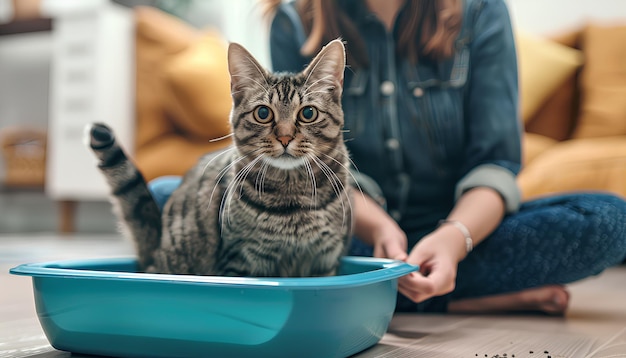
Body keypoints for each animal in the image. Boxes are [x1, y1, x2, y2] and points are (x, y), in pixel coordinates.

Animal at [86, 40, 352, 278]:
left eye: (308, 113)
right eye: (263, 113)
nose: (285, 137)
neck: (293, 195)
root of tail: (154, 253)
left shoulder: (325, 261)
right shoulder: (240, 259)